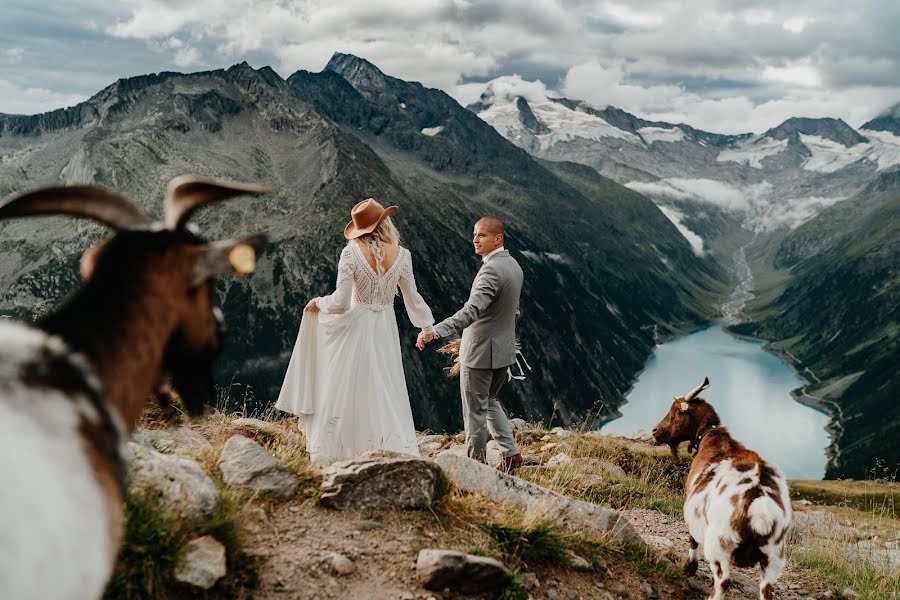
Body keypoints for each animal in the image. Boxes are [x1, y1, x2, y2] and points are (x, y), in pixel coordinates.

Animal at [652, 378, 792, 596]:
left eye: (675, 412)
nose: (655, 431)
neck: (711, 440)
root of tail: (760, 507)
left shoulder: (693, 511)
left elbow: (692, 538)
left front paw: (689, 567)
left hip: (720, 543)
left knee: (723, 580)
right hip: (774, 556)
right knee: (766, 590)